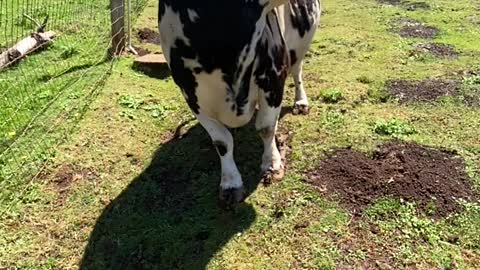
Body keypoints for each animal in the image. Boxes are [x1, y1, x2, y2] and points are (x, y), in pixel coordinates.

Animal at [159, 0, 320, 202]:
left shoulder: (274, 74)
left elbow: (266, 127)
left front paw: (272, 164)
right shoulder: (191, 94)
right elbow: (222, 141)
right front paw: (230, 183)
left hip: (299, 47)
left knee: (297, 71)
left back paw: (301, 102)